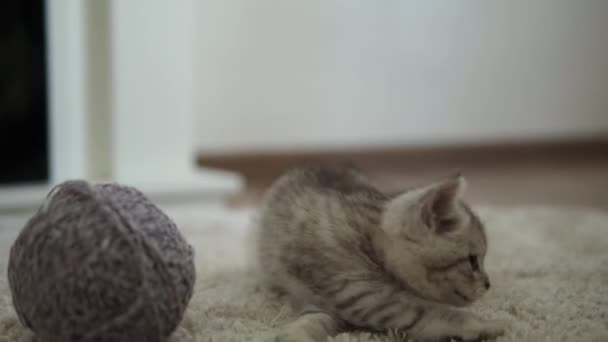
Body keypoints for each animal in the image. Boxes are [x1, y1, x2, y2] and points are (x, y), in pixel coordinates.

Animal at [255, 164, 504, 340]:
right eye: (472, 261)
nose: (488, 284)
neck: (370, 237)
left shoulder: (346, 299)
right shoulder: (360, 293)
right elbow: (434, 312)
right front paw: (485, 323)